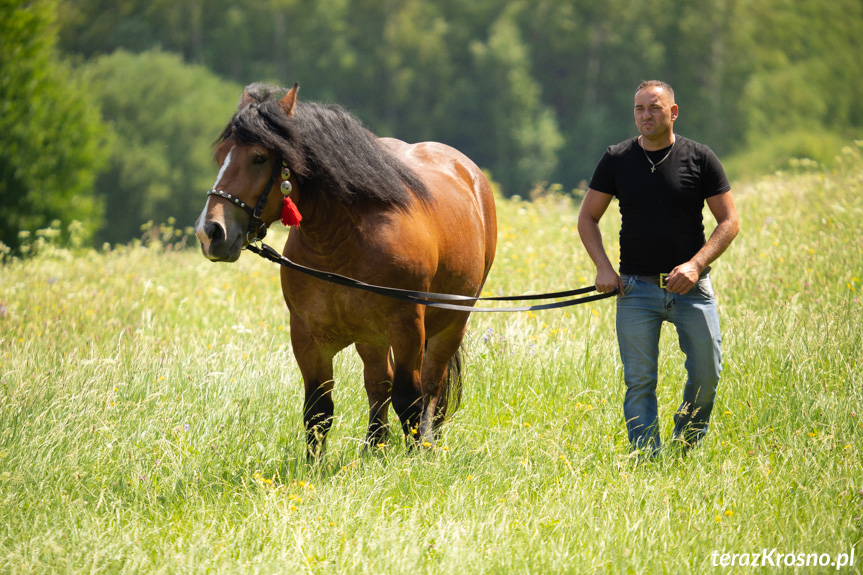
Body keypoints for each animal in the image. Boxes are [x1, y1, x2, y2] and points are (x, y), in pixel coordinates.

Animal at [193, 83, 496, 456]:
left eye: (259, 157)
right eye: (221, 155)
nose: (210, 232)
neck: (341, 243)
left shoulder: (408, 327)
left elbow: (409, 400)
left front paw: (413, 461)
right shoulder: (306, 335)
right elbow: (318, 411)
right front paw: (315, 465)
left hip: (451, 322)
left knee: (431, 388)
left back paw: (425, 443)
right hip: (372, 338)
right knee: (379, 384)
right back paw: (374, 448)